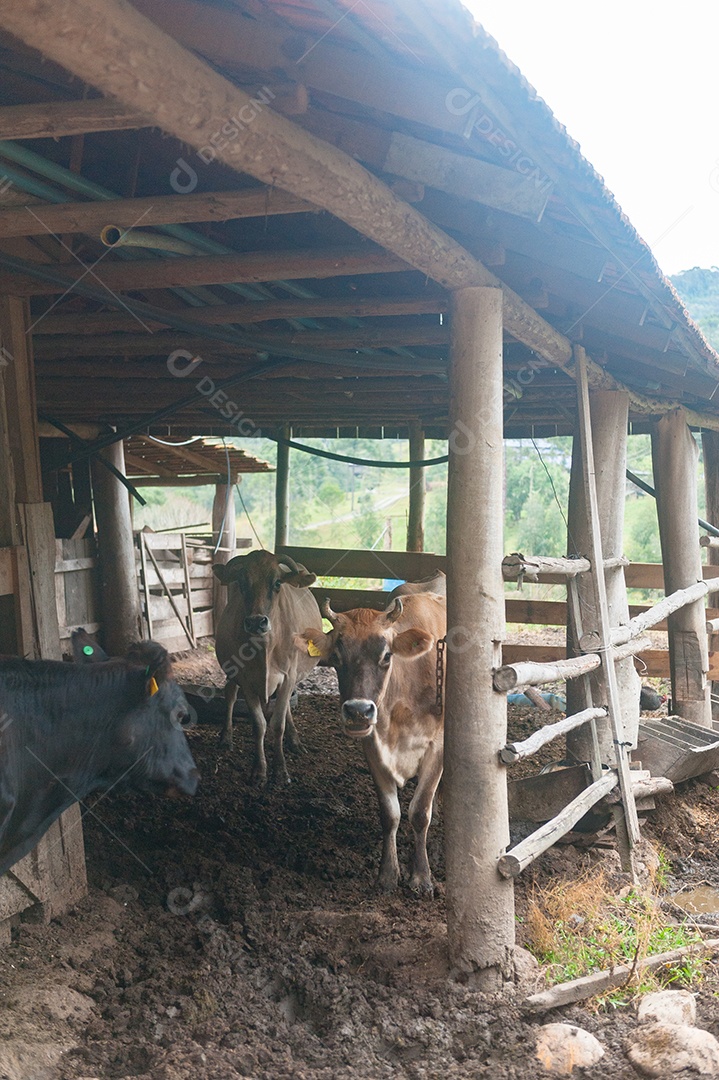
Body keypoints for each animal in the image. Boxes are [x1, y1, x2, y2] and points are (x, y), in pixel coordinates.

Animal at [213, 550, 322, 784]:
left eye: (277, 583)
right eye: (242, 582)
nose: (256, 622)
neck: (265, 649)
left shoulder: (288, 676)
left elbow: (277, 724)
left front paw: (280, 769)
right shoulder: (246, 680)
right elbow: (259, 724)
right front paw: (259, 769)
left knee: (286, 706)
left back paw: (295, 740)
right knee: (230, 695)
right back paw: (226, 737)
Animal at [295, 592, 446, 895]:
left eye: (386, 655)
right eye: (336, 656)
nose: (358, 711)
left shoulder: (436, 745)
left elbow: (420, 812)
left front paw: (421, 878)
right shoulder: (372, 746)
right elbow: (390, 814)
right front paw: (387, 875)